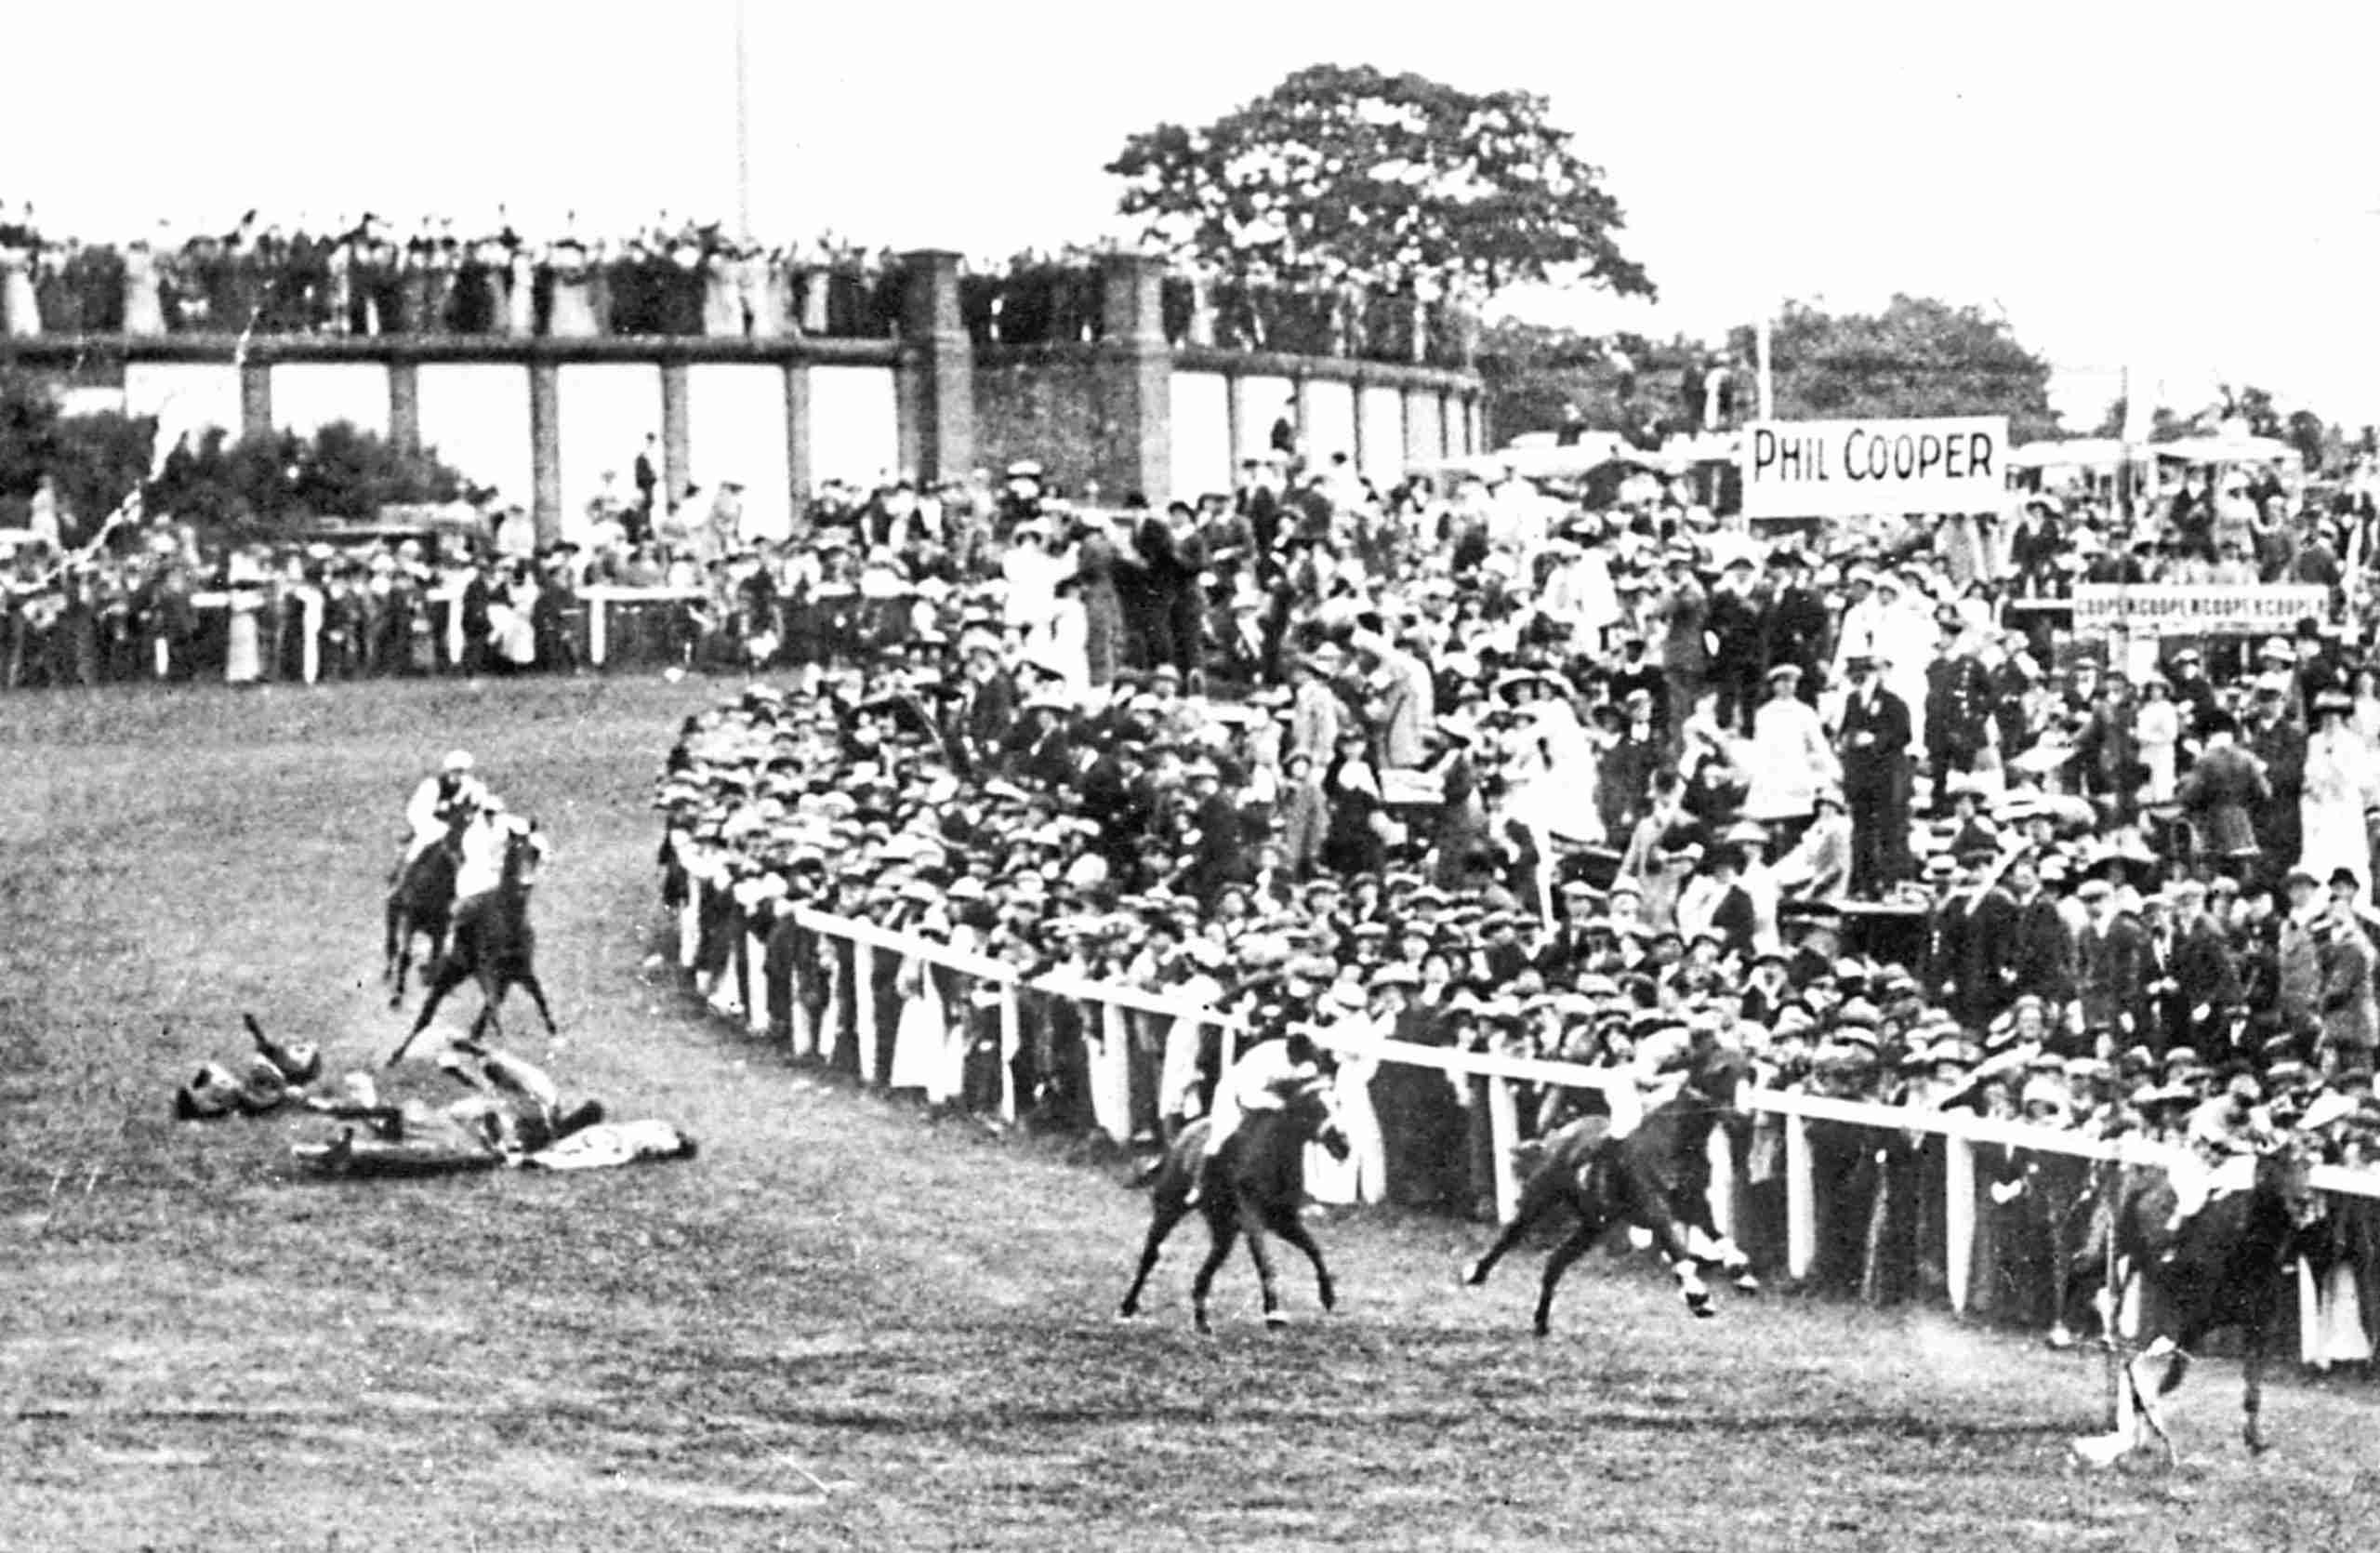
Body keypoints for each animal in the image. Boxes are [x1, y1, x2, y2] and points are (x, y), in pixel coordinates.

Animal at [383, 814, 466, 1004]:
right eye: (452, 836)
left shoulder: (441, 931)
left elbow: (435, 961)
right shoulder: (410, 923)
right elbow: (405, 957)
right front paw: (397, 997)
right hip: (393, 912)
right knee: (392, 944)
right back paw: (388, 973)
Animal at [388, 824, 559, 1067]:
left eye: (535, 852)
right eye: (513, 851)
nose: (525, 884)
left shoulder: (518, 971)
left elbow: (538, 998)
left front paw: (554, 1035)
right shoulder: (486, 969)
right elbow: (493, 1007)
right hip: (451, 969)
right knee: (425, 1011)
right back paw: (397, 1051)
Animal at [1118, 1081, 1352, 1334]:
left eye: (1339, 1103)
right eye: (1317, 1107)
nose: (1343, 1144)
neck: (1274, 1157)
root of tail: (1182, 1135)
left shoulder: (1284, 1221)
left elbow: (1313, 1250)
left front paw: (1327, 1296)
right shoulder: (1252, 1219)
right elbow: (1265, 1262)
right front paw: (1273, 1314)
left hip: (1224, 1229)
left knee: (1205, 1271)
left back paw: (1202, 1322)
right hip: (1169, 1210)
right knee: (1150, 1255)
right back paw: (1127, 1307)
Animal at [1456, 1029, 1761, 1334]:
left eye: (1751, 1074)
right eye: (1722, 1071)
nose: (1743, 1116)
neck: (1676, 1142)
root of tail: (1557, 1135)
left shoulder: (1695, 1204)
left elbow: (1720, 1236)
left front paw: (1741, 1274)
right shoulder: (1653, 1205)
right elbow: (1675, 1246)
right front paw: (1698, 1297)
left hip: (1593, 1224)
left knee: (1555, 1261)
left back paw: (1541, 1324)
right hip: (1539, 1197)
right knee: (1509, 1235)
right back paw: (1475, 1273)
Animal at [2066, 1138, 2322, 1467]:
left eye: (2309, 1164)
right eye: (2278, 1162)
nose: (2304, 1202)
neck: (2246, 1249)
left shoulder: (2259, 1323)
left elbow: (2251, 1385)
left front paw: (2255, 1441)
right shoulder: (2192, 1319)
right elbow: (2169, 1375)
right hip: (2108, 1244)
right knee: (2078, 1268)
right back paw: (2064, 1331)